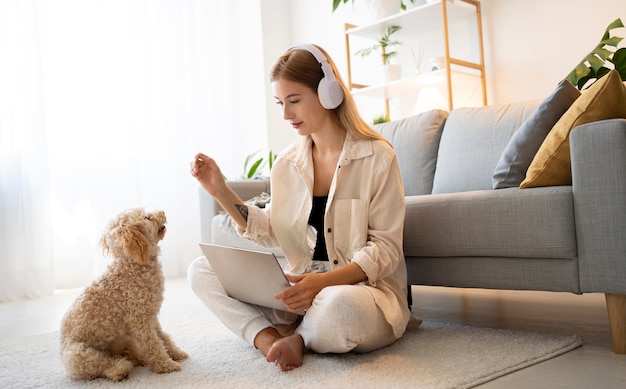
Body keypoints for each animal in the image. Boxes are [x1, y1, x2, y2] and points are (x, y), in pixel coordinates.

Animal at [60, 208, 188, 380]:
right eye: (146, 217)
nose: (163, 212)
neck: (133, 264)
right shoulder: (140, 321)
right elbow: (153, 344)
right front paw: (166, 365)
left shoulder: (152, 317)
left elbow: (163, 337)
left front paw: (176, 353)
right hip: (78, 355)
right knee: (103, 365)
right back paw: (120, 369)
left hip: (125, 340)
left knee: (130, 354)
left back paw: (138, 359)